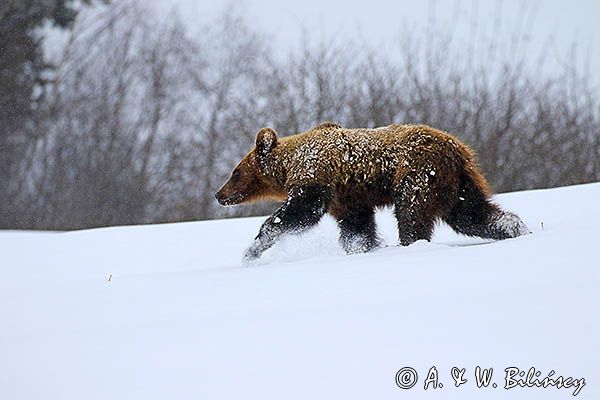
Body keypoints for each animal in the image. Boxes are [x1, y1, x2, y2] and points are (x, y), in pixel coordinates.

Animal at [217, 123, 528, 260]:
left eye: (235, 172)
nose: (219, 194)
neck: (289, 165)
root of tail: (459, 149)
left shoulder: (317, 176)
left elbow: (300, 211)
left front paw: (253, 249)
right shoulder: (348, 196)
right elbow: (357, 227)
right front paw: (362, 247)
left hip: (418, 174)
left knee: (411, 212)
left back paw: (410, 243)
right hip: (455, 185)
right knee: (471, 213)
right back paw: (517, 228)